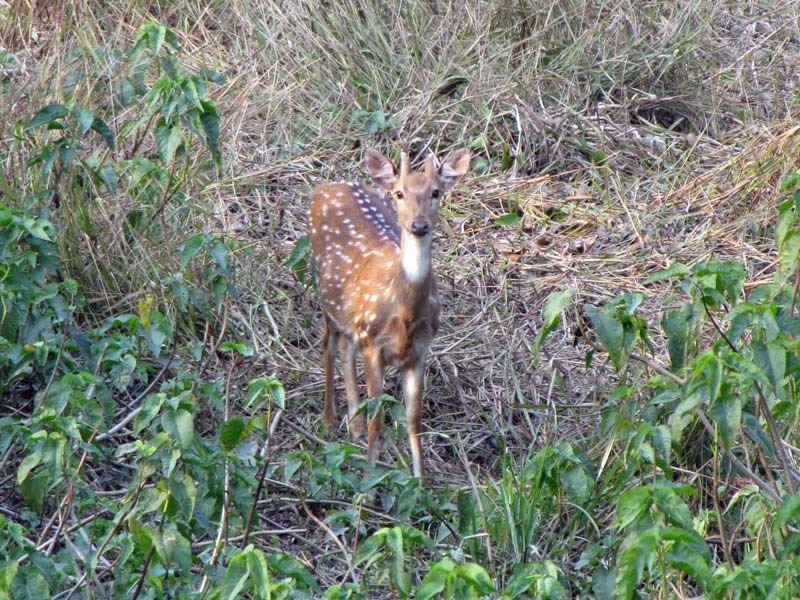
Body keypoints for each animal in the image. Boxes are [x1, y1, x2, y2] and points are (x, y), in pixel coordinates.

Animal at [306, 148, 468, 480]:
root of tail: (327, 186)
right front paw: (369, 479)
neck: (403, 312)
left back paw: (352, 425)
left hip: (350, 317)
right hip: (327, 295)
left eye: (436, 192)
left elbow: (414, 422)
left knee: (344, 347)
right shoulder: (373, 345)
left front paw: (421, 482)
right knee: (329, 344)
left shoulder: (420, 351)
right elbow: (377, 418)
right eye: (400, 193)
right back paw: (329, 421)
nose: (418, 225)